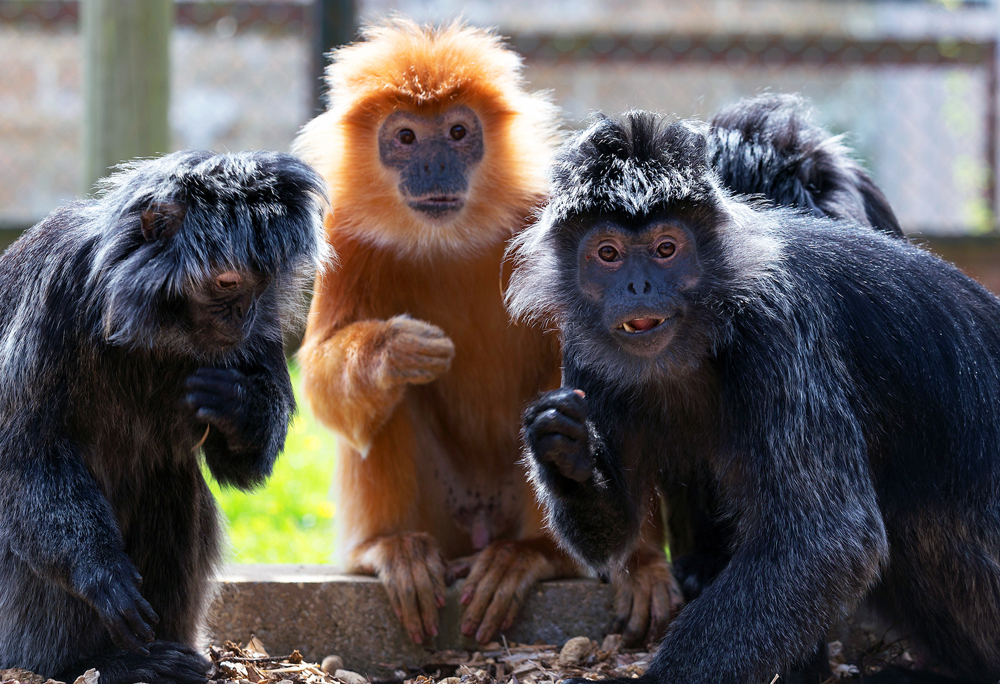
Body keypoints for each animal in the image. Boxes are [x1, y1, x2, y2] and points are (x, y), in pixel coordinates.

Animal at [0, 150, 326, 684]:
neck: (149, 323)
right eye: (227, 282)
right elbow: (24, 454)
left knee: (168, 478)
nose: (244, 315)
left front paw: (240, 408)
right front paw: (101, 572)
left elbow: (238, 468)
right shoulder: (54, 288)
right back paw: (91, 663)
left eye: (261, 285)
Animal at [290, 18, 608, 646]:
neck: (451, 238)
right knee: (384, 407)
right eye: (407, 137)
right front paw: (394, 349)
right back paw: (389, 550)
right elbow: (320, 381)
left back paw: (532, 555)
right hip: (440, 515)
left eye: (458, 132)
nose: (436, 167)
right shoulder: (344, 235)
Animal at [507, 111, 1000, 683]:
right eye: (608, 255)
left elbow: (829, 542)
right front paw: (562, 450)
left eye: (666, 249)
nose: (637, 287)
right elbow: (615, 536)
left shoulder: (778, 319)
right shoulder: (584, 347)